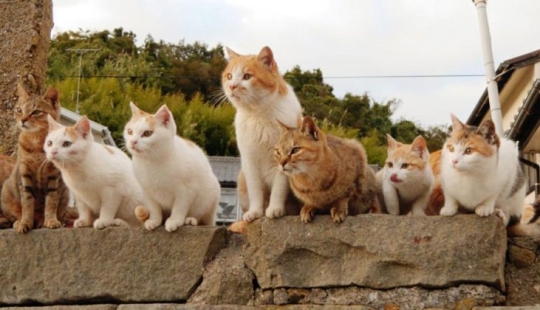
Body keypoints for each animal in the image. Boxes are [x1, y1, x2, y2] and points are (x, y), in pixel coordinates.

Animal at [0, 83, 70, 234]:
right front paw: (25, 223)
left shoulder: (54, 176)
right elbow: (27, 204)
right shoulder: (25, 174)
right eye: (19, 110)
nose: (22, 120)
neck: (37, 144)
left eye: (36, 112)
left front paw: (50, 221)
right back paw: (18, 222)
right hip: (6, 192)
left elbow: (51, 202)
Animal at [124, 101, 219, 230]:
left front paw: (174, 220)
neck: (152, 162)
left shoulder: (187, 190)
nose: (133, 141)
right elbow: (153, 207)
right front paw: (154, 220)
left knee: (204, 219)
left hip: (211, 196)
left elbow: (179, 207)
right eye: (130, 131)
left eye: (147, 133)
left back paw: (190, 220)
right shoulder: (147, 191)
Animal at [220, 45, 304, 223]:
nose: (232, 86)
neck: (259, 114)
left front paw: (275, 209)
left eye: (247, 76)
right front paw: (255, 212)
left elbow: (279, 188)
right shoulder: (249, 160)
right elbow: (255, 190)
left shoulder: (283, 159)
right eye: (229, 76)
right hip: (242, 176)